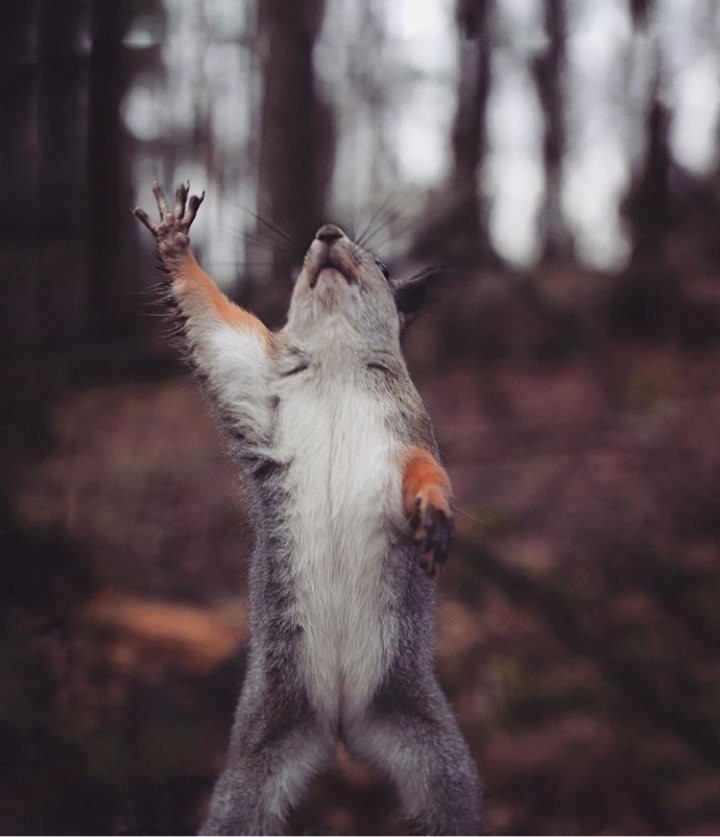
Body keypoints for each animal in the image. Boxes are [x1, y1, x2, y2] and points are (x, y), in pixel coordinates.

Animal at [133, 183, 482, 836]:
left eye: (387, 269)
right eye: (302, 260)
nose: (325, 233)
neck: (338, 364)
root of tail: (343, 723)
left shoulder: (407, 438)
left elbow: (424, 473)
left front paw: (433, 513)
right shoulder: (251, 376)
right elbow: (213, 323)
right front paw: (174, 240)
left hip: (429, 741)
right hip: (263, 737)